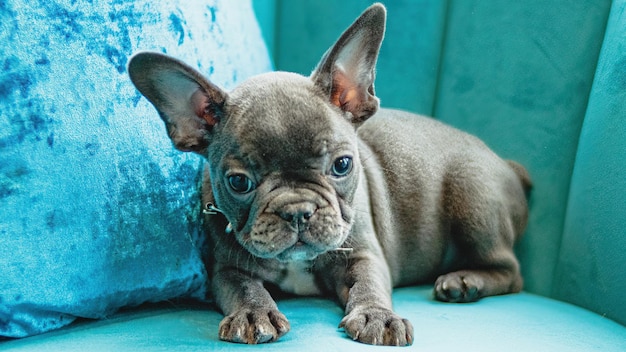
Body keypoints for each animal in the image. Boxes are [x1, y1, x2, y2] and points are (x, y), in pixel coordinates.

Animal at [127, 2, 528, 346]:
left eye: (342, 165)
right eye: (239, 182)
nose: (297, 211)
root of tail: (508, 166)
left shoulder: (363, 255)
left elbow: (368, 285)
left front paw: (378, 316)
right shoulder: (226, 270)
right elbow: (244, 287)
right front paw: (254, 313)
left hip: (472, 198)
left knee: (511, 271)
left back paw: (464, 280)